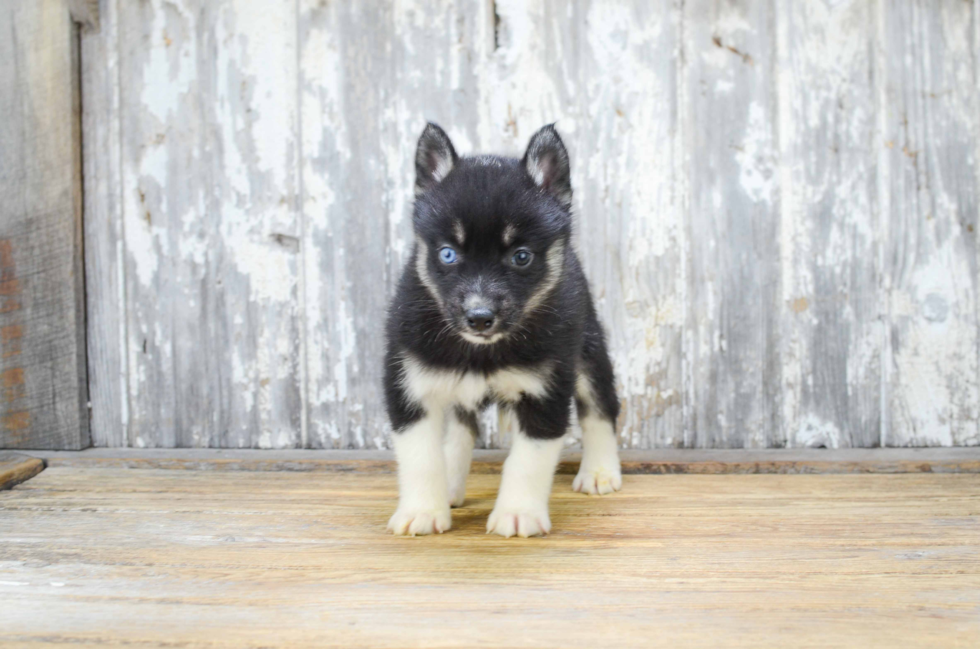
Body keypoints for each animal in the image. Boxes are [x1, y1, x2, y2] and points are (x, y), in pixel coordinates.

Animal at [382, 121, 620, 536]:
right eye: (447, 253)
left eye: (521, 257)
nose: (479, 317)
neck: (482, 350)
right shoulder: (409, 387)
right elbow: (421, 458)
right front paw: (423, 511)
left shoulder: (545, 393)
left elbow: (527, 462)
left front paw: (518, 513)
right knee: (461, 427)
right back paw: (452, 483)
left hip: (589, 351)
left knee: (601, 408)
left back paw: (600, 471)